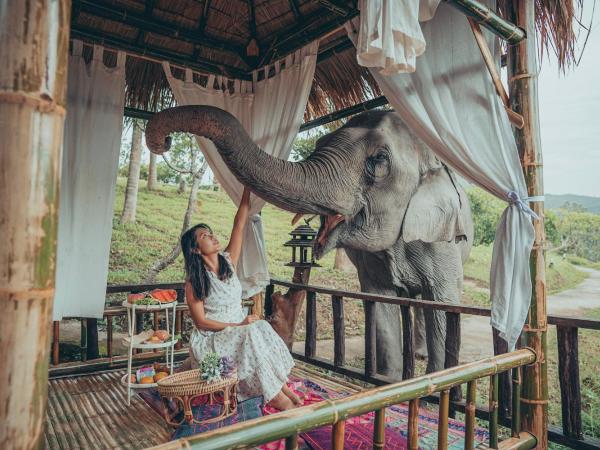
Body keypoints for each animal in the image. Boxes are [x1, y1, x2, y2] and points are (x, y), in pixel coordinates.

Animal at [146, 104, 474, 376]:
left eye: (379, 159)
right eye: (318, 144)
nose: (162, 140)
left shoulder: (442, 238)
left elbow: (443, 303)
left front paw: (437, 382)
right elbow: (380, 302)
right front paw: (389, 381)